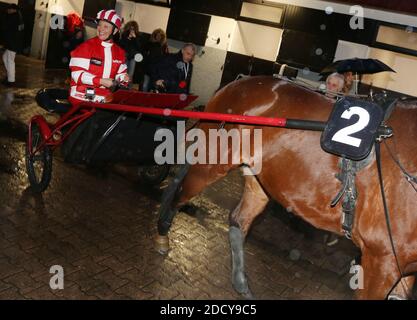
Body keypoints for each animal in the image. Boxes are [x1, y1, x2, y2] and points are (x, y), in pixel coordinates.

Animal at [154, 76, 414, 298]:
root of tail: (235, 85)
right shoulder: (381, 260)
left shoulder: (403, 268)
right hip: (210, 163)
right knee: (180, 193)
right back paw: (162, 235)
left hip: (259, 180)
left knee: (239, 220)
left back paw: (241, 283)